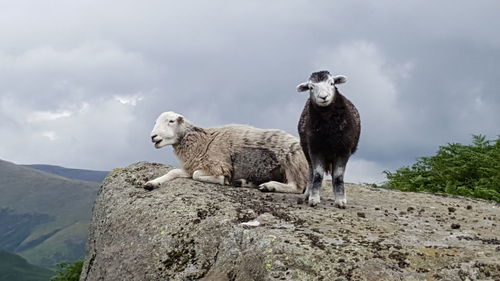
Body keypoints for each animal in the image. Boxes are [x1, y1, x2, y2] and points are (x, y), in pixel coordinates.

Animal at [144, 110, 308, 194]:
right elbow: (173, 172)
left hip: (293, 163)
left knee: (297, 187)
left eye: (171, 121)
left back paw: (269, 186)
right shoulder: (193, 166)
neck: (201, 141)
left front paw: (223, 180)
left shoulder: (218, 165)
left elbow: (198, 175)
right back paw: (244, 182)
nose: (153, 137)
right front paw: (152, 183)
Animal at [294, 69, 362, 207]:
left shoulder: (344, 150)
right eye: (311, 87)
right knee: (311, 171)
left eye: (332, 83)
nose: (323, 97)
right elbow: (318, 175)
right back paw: (308, 193)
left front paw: (340, 200)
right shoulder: (315, 149)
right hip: (306, 149)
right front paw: (314, 198)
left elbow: (338, 176)